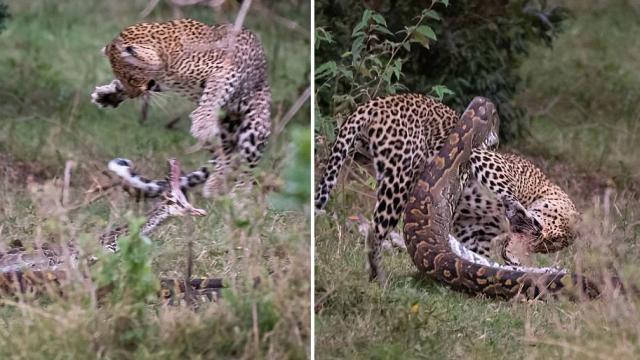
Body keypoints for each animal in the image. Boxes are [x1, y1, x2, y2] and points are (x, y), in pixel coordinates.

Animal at [90, 18, 270, 198]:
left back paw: (238, 194)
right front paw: (107, 95)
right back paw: (213, 186)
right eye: (122, 78)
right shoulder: (159, 81)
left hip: (255, 129)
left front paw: (202, 124)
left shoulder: (226, 70)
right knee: (224, 155)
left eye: (131, 78)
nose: (134, 95)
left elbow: (213, 93)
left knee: (247, 167)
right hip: (225, 132)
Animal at [316, 93, 580, 284]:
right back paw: (378, 277)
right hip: (399, 179)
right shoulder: (488, 160)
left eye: (546, 245)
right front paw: (516, 209)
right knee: (374, 233)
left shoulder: (475, 232)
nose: (536, 232)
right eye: (546, 237)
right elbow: (504, 188)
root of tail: (372, 106)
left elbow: (477, 254)